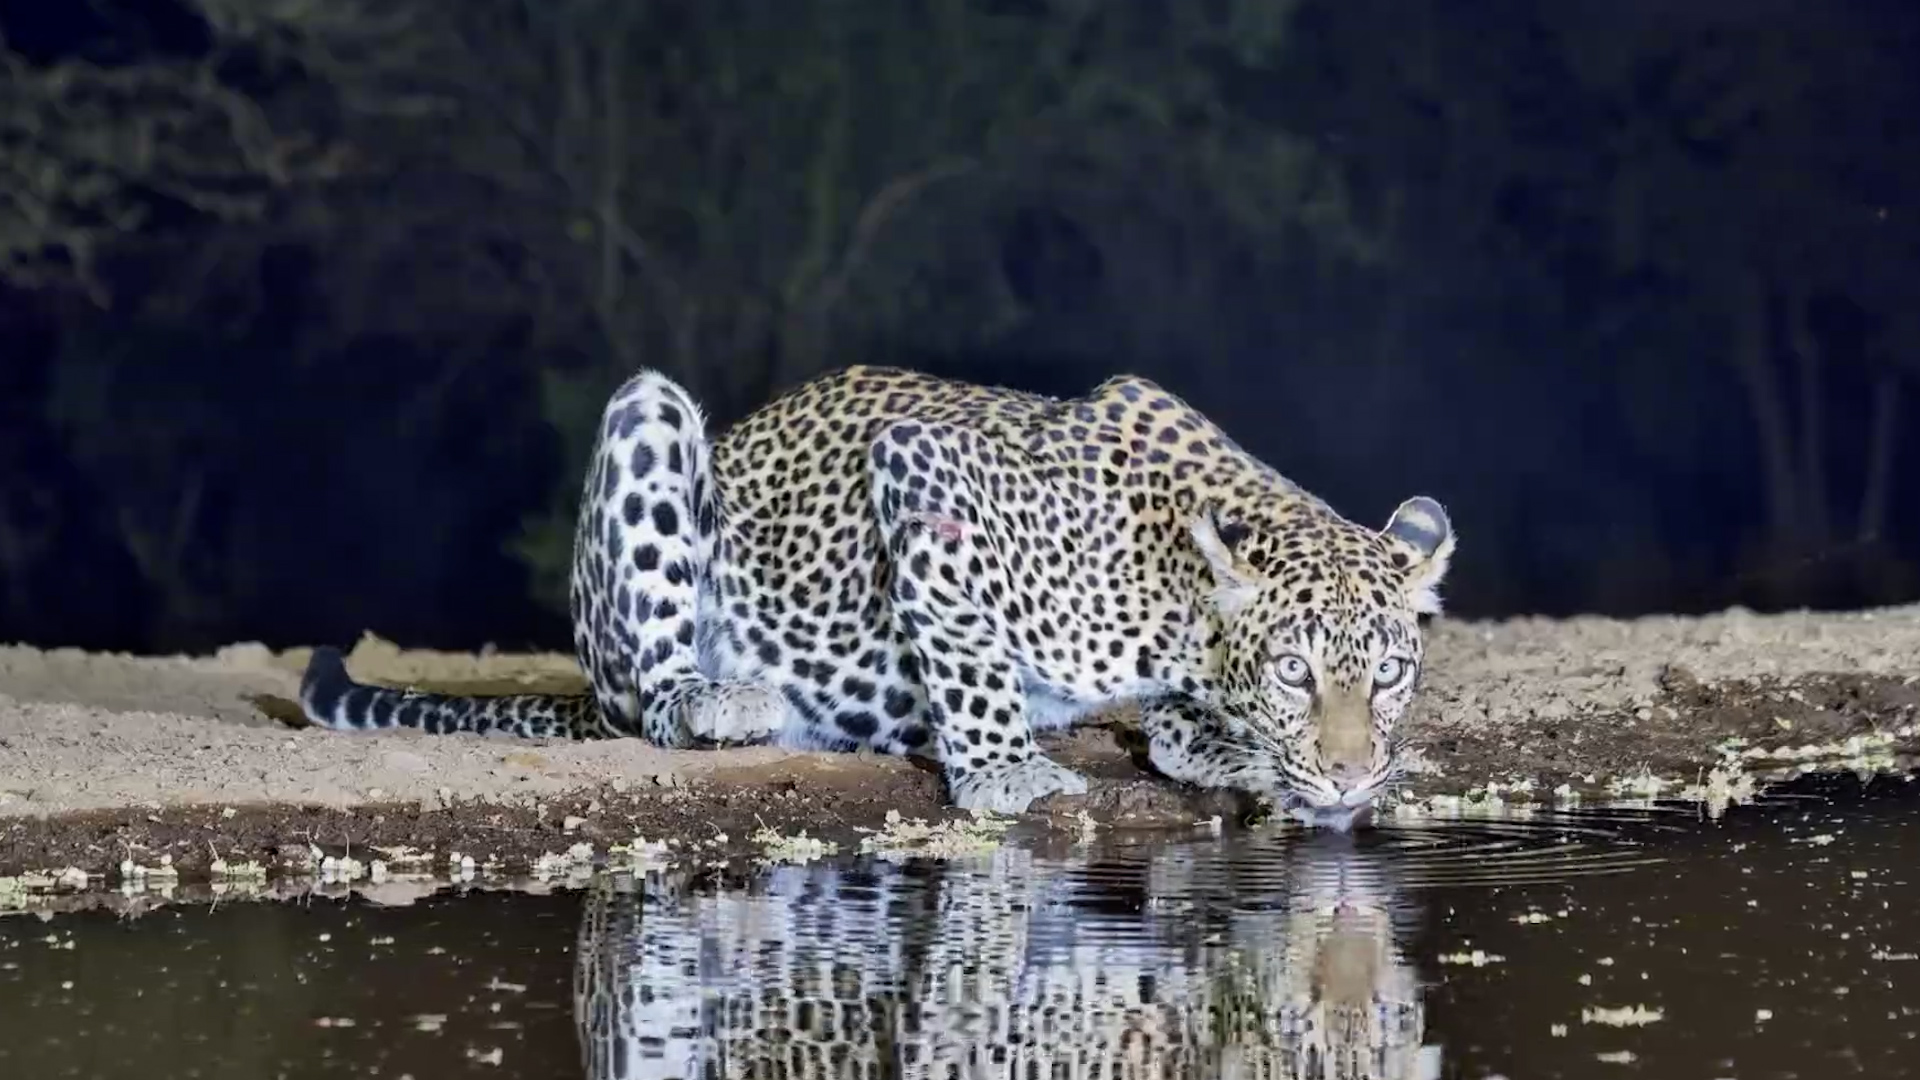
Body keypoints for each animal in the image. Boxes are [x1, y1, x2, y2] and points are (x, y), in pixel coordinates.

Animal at [298, 364, 1455, 821]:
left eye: (1393, 672)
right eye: (1296, 670)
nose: (1353, 778)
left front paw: (1225, 748)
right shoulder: (926, 480)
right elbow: (972, 658)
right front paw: (1004, 772)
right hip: (649, 420)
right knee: (646, 700)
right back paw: (722, 701)